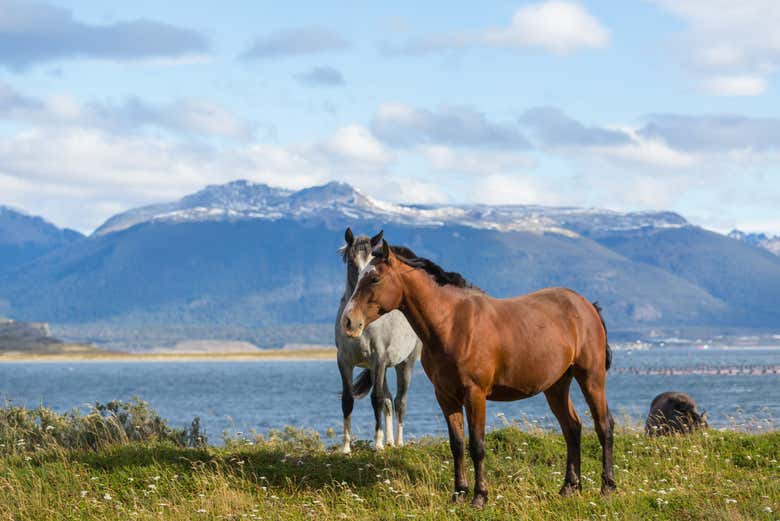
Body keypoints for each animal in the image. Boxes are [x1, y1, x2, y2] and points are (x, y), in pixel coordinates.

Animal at [335, 228, 422, 453]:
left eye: (371, 263)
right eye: (351, 261)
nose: (352, 323)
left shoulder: (379, 357)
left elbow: (376, 399)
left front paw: (377, 444)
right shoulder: (344, 361)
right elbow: (348, 400)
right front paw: (346, 447)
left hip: (404, 364)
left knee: (399, 401)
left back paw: (398, 442)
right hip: (378, 370)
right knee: (389, 400)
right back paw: (390, 441)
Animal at [340, 239, 616, 507]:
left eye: (375, 278)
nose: (348, 321)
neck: (452, 324)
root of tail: (587, 306)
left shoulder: (475, 395)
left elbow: (477, 446)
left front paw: (479, 496)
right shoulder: (446, 396)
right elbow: (457, 445)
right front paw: (459, 493)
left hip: (591, 378)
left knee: (604, 426)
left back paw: (607, 487)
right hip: (556, 386)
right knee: (572, 428)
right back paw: (569, 487)